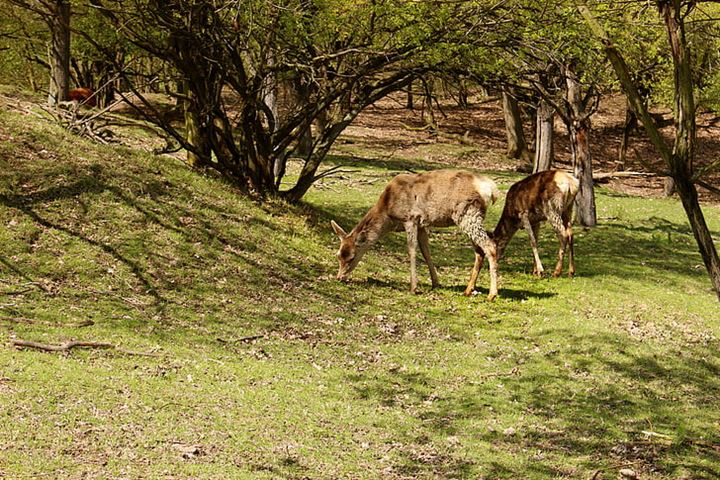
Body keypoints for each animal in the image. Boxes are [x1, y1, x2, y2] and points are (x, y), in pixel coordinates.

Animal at [332, 170, 500, 300]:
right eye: (338, 255)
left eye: (352, 257)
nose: (339, 277)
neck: (388, 213)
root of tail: (492, 190)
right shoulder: (421, 226)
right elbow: (426, 252)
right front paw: (435, 282)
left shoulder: (411, 218)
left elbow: (412, 251)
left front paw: (413, 287)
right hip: (470, 217)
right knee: (479, 251)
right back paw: (468, 290)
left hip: (468, 213)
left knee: (490, 246)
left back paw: (492, 294)